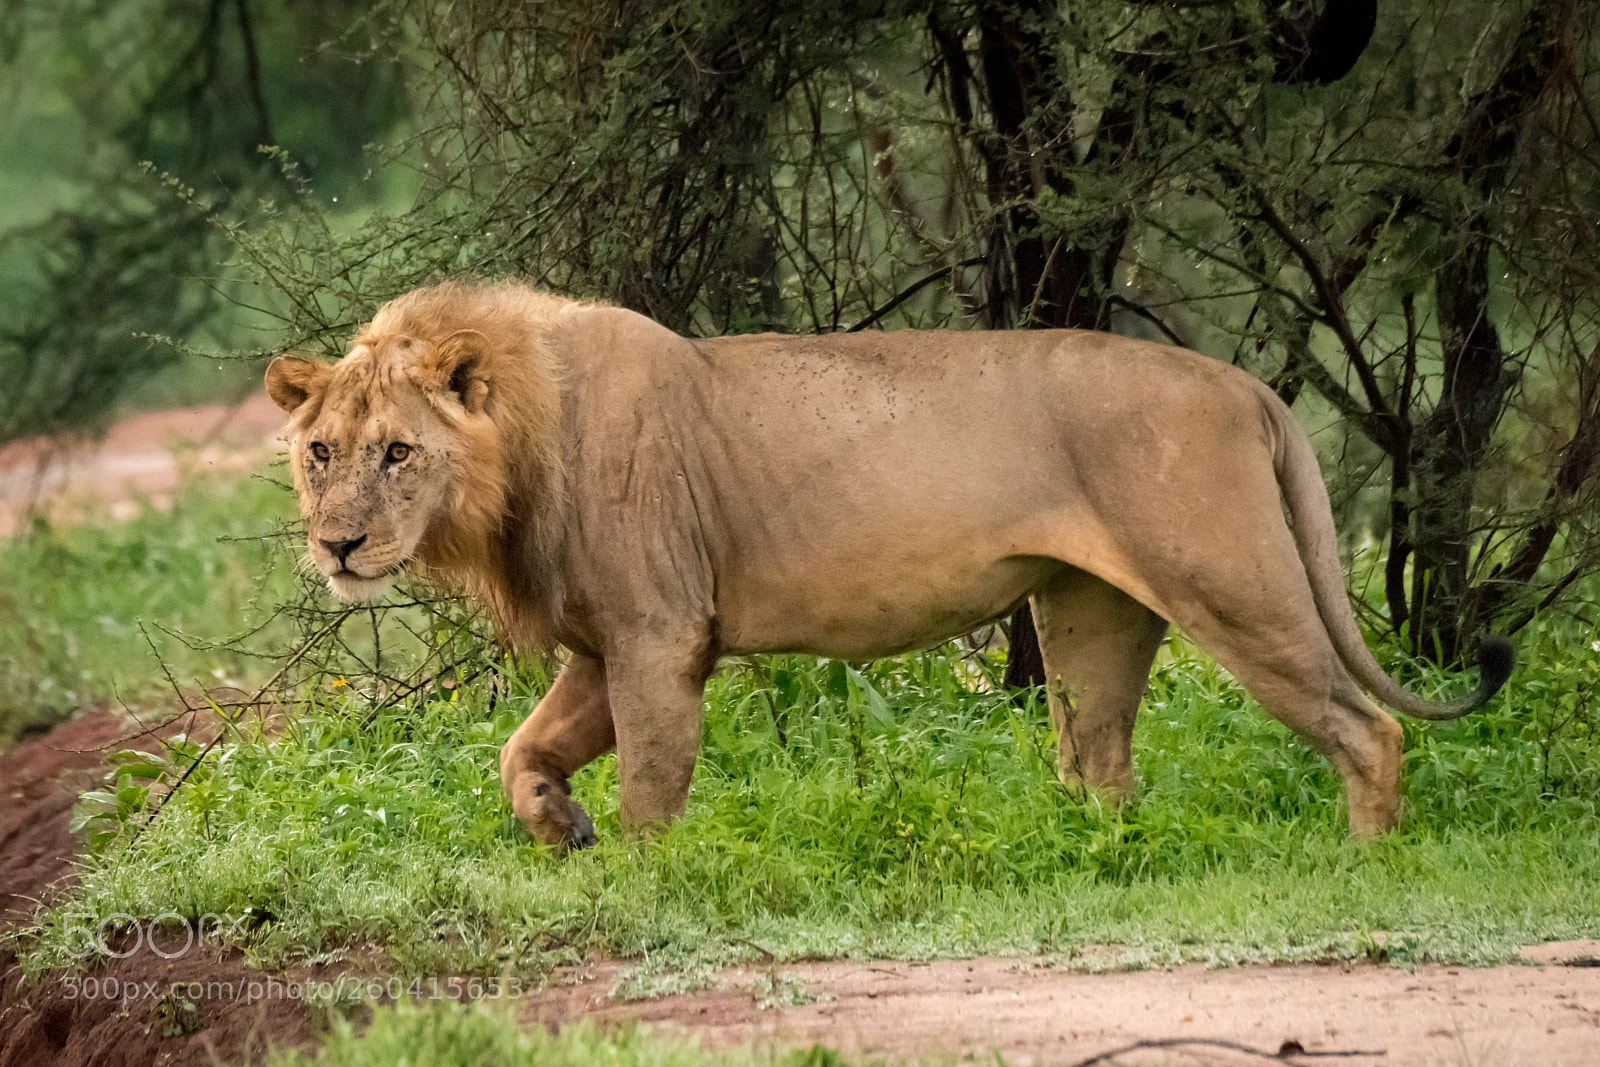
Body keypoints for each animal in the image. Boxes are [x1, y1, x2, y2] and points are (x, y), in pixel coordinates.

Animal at [265, 280, 1512, 846]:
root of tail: (1246, 383)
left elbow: (653, 783)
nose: (338, 542)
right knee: (1102, 762)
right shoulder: (603, 642)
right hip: (1090, 613)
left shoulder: (660, 633)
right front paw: (557, 823)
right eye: (320, 450)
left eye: (397, 451)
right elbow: (520, 751)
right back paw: (1088, 855)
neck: (519, 449)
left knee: (1367, 725)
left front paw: (639, 872)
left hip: (1233, 586)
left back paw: (1363, 855)